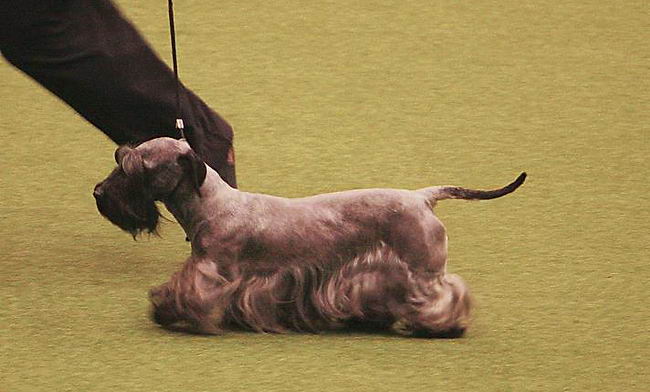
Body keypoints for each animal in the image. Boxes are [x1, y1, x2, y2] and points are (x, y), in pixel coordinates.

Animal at [92, 137, 528, 336]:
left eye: (135, 169)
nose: (98, 193)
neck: (211, 204)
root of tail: (423, 197)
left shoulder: (212, 268)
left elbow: (187, 291)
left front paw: (168, 312)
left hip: (423, 270)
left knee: (446, 294)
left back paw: (442, 326)